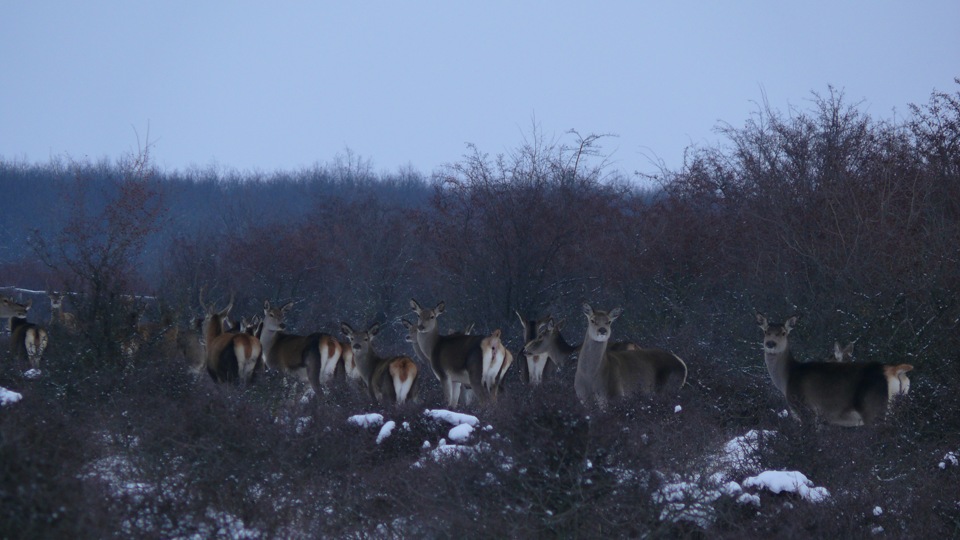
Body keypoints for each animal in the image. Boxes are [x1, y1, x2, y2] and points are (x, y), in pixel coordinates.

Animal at [756, 312, 916, 426]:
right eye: (765, 331)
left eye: (783, 332)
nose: (770, 343)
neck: (787, 379)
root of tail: (895, 371)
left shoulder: (806, 409)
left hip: (873, 407)